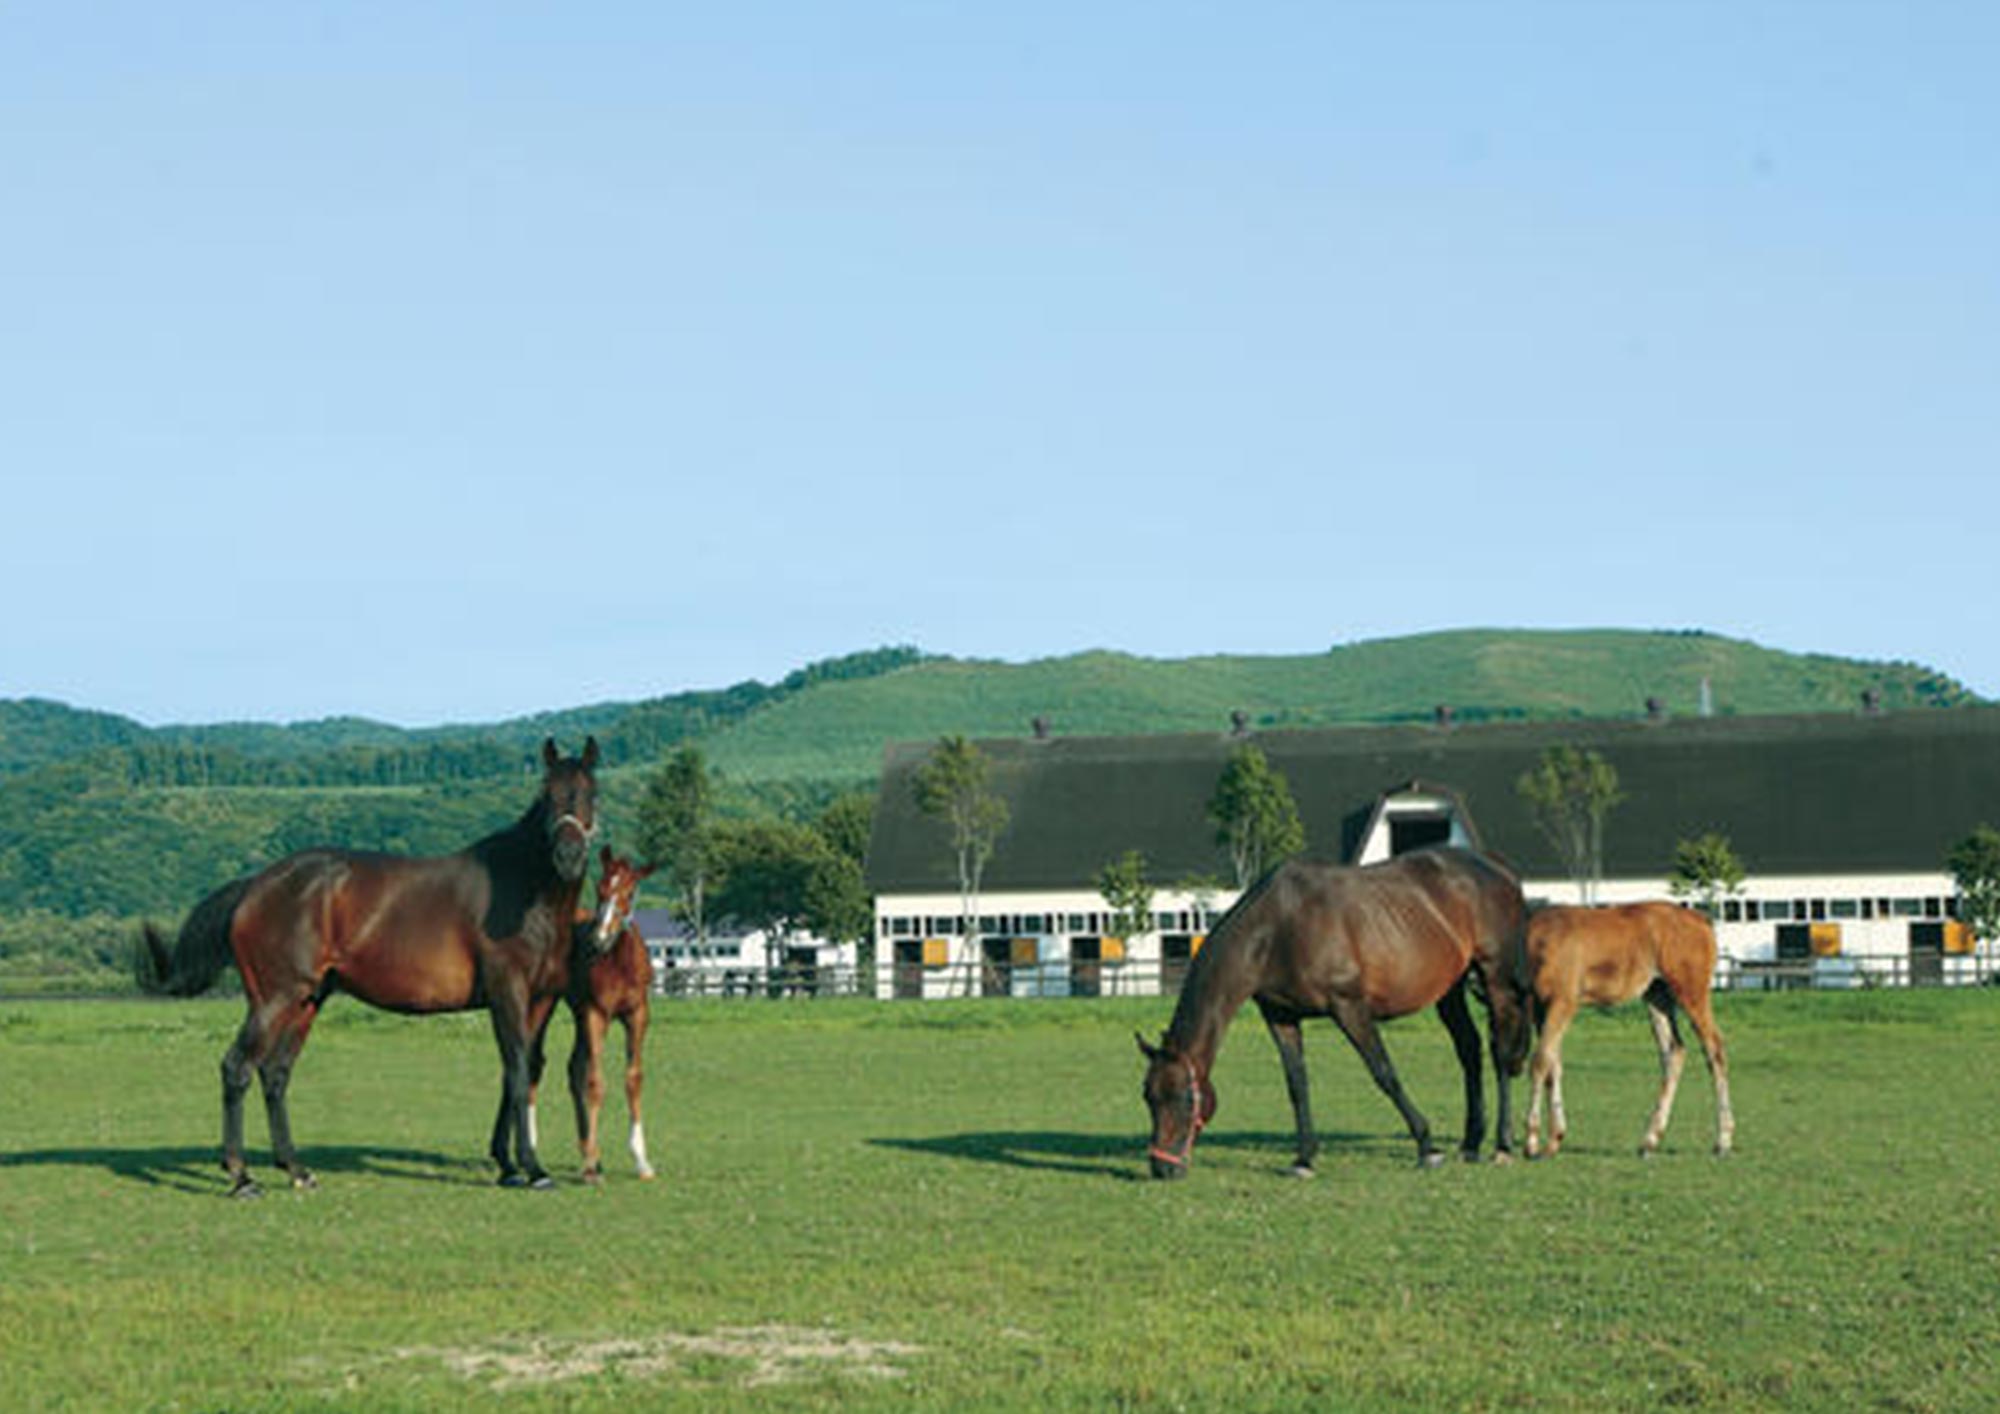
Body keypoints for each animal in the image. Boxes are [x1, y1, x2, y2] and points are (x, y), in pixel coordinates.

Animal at [138, 740, 596, 1192]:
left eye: (590, 793)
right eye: (547, 794)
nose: (569, 856)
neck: (523, 892)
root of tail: (254, 886)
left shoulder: (540, 1000)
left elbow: (520, 1070)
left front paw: (507, 1164)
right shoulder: (508, 994)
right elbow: (517, 1072)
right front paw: (532, 1168)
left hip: (305, 1002)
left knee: (275, 1073)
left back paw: (296, 1169)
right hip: (273, 999)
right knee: (237, 1068)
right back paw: (241, 1176)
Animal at [524, 852, 656, 1184]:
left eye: (630, 893)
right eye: (600, 888)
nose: (600, 938)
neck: (619, 962)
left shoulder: (638, 1015)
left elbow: (633, 1079)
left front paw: (641, 1160)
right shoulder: (596, 1014)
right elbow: (595, 1083)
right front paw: (588, 1169)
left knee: (573, 1068)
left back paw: (590, 1152)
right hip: (543, 1003)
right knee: (532, 1063)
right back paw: (532, 1147)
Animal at [1144, 852, 1528, 1184]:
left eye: (1183, 1098)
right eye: (1148, 1097)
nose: (1161, 1169)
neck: (1278, 927)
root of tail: (1499, 870)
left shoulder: (1349, 1007)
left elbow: (1384, 1073)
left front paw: (1427, 1146)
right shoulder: (1281, 1017)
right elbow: (1297, 1085)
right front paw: (1304, 1159)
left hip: (1496, 978)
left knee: (1500, 1053)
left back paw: (1503, 1144)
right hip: (1450, 989)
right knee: (1469, 1050)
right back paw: (1471, 1143)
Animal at [1528, 908, 1736, 1160]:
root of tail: (1700, 919)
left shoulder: (1562, 1002)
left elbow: (1540, 1062)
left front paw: (1532, 1142)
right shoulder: (1540, 1008)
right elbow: (1552, 1065)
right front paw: (1553, 1140)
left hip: (1691, 993)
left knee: (1714, 1050)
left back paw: (1722, 1141)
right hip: (1657, 996)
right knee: (1674, 1052)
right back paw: (1650, 1140)